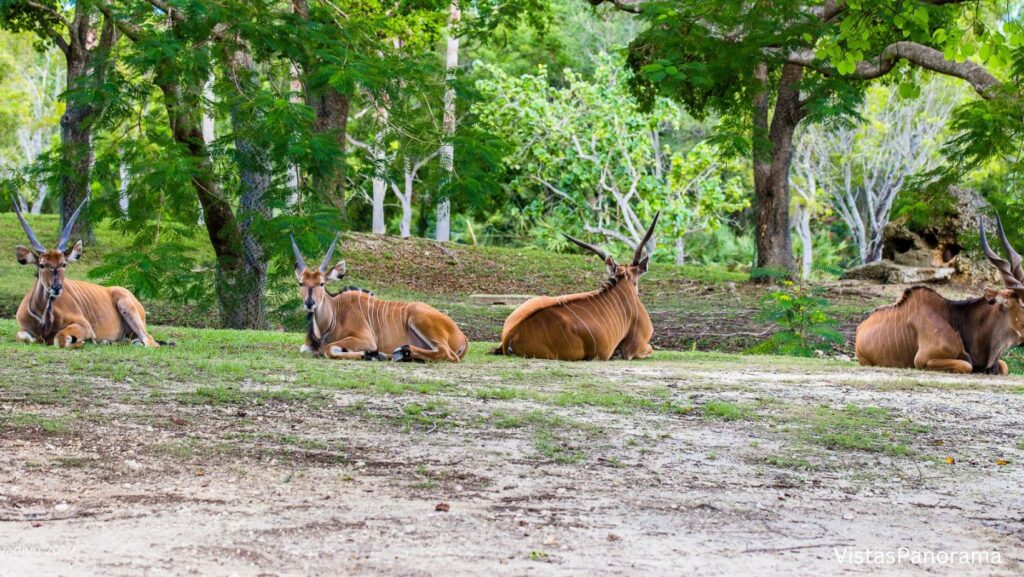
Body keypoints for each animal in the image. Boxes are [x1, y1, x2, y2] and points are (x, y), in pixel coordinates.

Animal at [12, 196, 159, 350]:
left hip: (128, 309)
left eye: (63, 264)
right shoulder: (23, 331)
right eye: (41, 265)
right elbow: (24, 337)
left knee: (151, 342)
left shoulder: (85, 326)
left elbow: (59, 339)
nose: (56, 288)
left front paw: (83, 341)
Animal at [290, 233, 466, 360]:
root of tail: (462, 335)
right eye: (301, 283)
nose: (309, 303)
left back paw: (401, 351)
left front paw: (373, 354)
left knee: (447, 354)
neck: (335, 313)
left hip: (418, 319)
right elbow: (307, 349)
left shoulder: (366, 339)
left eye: (321, 283)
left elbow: (329, 349)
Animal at [851, 217, 1024, 375]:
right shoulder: (923, 360)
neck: (959, 321)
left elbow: (1004, 367)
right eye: (1023, 304)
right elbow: (967, 365)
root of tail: (860, 328)